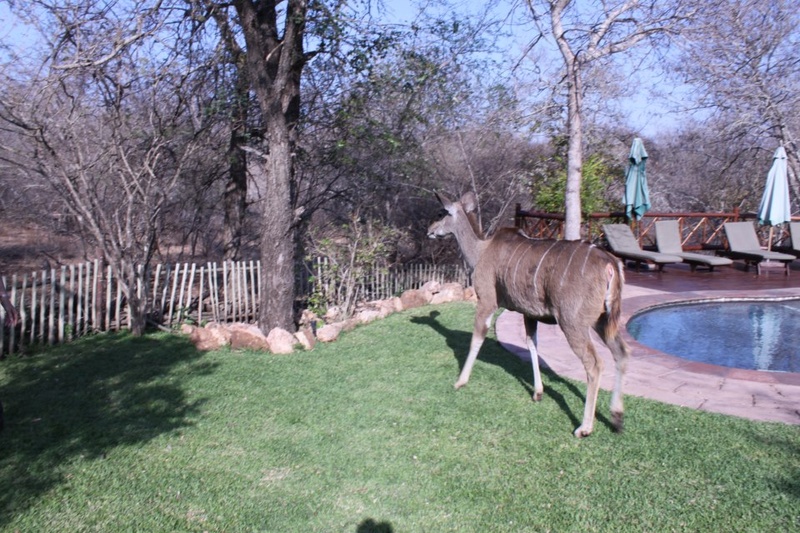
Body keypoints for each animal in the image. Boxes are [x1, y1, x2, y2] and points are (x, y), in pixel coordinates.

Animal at [427, 192, 630, 437]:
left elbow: (477, 338)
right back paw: (617, 418)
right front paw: (538, 393)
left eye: (441, 213)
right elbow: (532, 343)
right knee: (621, 352)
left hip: (572, 322)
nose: (429, 230)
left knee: (594, 364)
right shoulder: (529, 313)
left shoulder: (487, 301)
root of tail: (611, 264)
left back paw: (584, 428)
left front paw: (460, 381)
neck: (481, 250)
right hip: (603, 320)